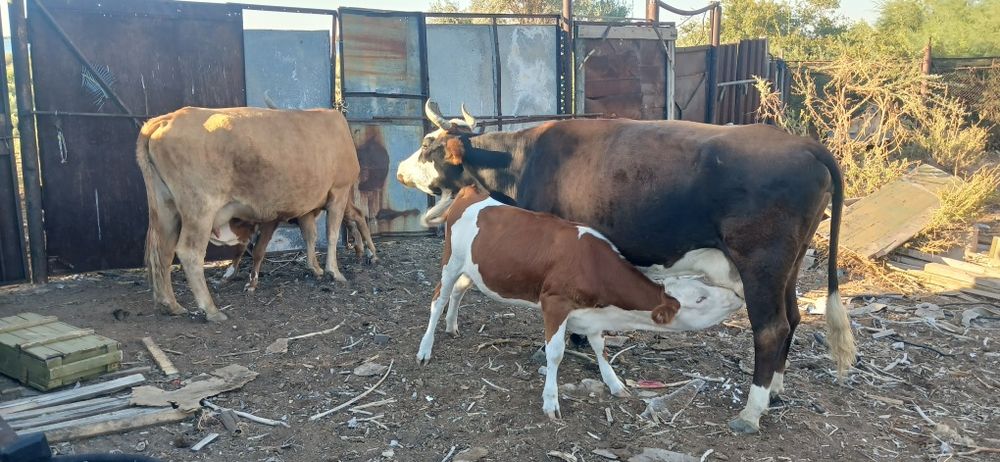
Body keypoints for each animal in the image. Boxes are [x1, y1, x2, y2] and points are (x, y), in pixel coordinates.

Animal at [136, 106, 360, 322]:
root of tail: (166, 118)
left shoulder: (306, 205)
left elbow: (310, 236)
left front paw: (315, 268)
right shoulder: (339, 191)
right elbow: (331, 234)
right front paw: (334, 272)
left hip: (166, 208)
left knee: (163, 252)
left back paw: (171, 305)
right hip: (200, 208)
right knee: (189, 252)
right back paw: (211, 310)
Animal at [213, 200, 378, 292]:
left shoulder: (269, 222)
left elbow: (258, 251)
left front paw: (252, 283)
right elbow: (239, 251)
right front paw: (227, 275)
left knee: (358, 215)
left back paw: (372, 253)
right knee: (348, 222)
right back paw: (359, 252)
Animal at [419, 184, 688, 419]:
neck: (592, 261)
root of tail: (471, 191)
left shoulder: (590, 312)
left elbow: (600, 346)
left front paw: (614, 383)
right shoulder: (554, 303)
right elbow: (555, 352)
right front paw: (551, 402)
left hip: (474, 268)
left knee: (458, 291)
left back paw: (452, 326)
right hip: (451, 261)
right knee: (438, 299)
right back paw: (425, 349)